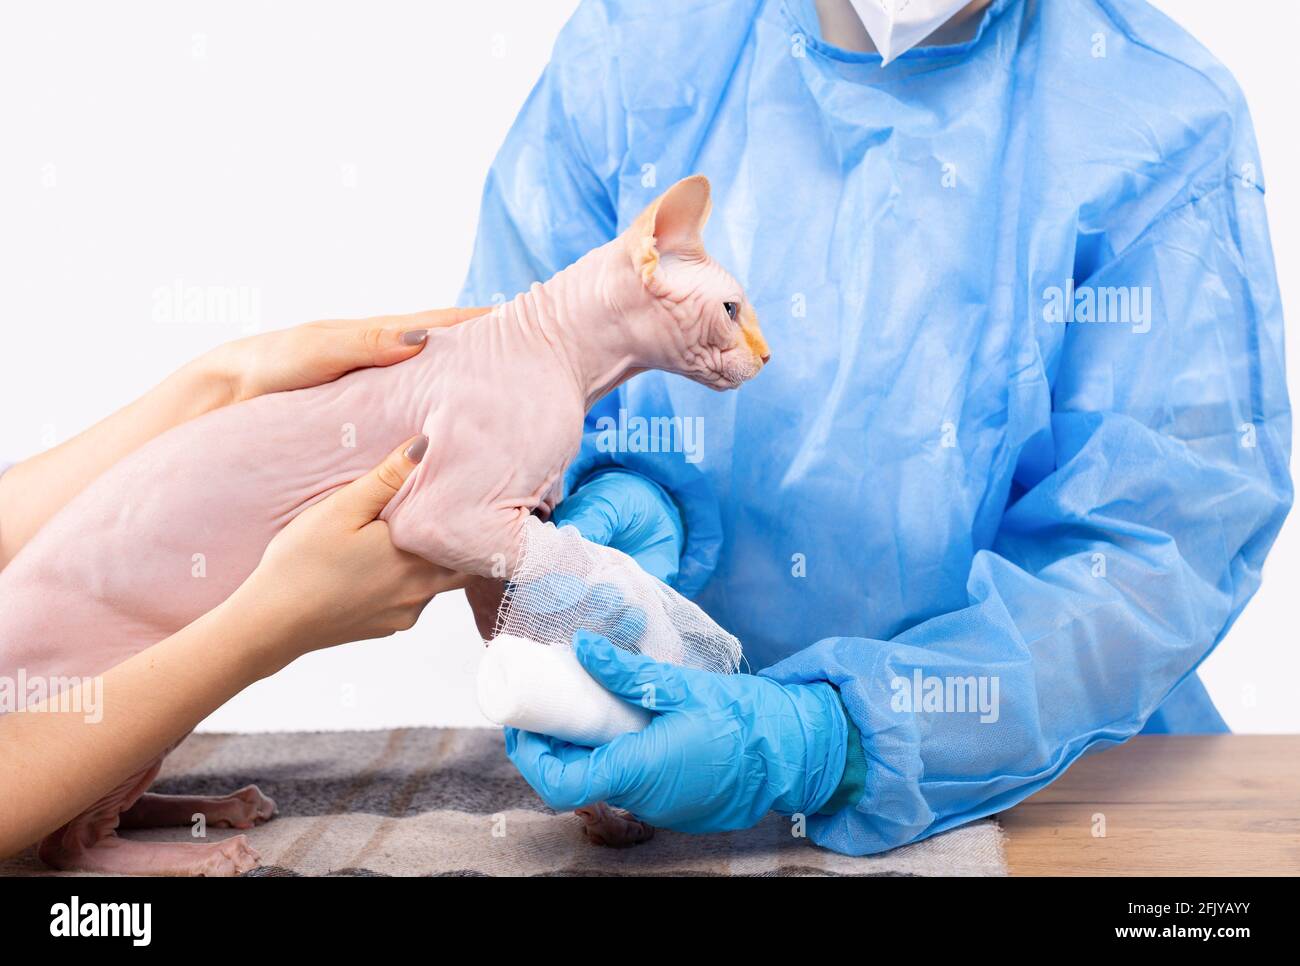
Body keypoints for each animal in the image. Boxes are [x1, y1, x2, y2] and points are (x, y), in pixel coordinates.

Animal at [0, 175, 769, 878]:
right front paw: (659, 623)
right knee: (69, 846)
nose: (766, 357)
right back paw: (202, 854)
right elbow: (605, 572)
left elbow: (517, 634)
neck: (558, 353)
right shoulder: (444, 513)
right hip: (125, 692)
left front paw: (601, 803)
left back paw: (220, 807)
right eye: (731, 309)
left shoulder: (501, 536)